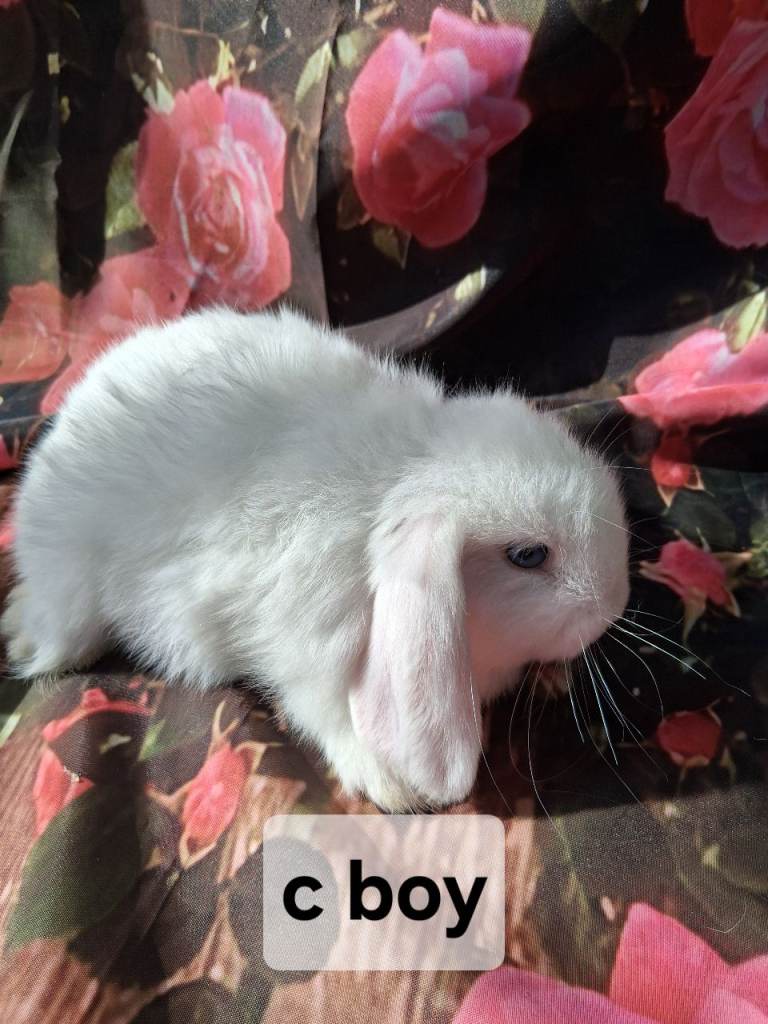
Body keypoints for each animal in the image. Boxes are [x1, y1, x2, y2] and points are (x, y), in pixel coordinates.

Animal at [1, 307, 630, 811]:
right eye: (528, 555)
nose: (615, 602)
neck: (406, 477)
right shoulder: (306, 651)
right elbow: (325, 712)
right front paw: (393, 785)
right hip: (68, 586)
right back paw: (22, 637)